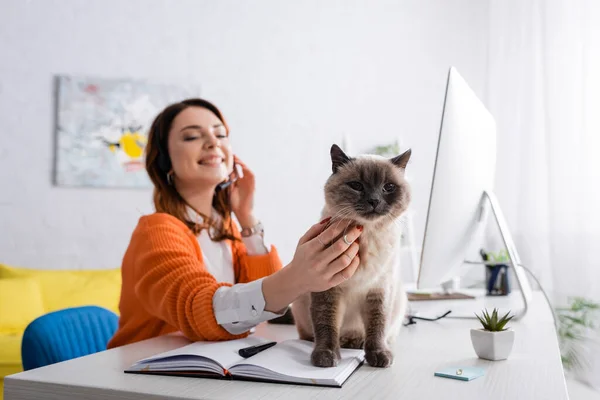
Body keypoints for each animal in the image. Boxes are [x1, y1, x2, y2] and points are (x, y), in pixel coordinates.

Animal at [290, 144, 412, 368]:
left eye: (388, 187)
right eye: (356, 186)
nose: (374, 200)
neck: (367, 235)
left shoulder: (379, 290)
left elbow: (377, 326)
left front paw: (379, 356)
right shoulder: (327, 289)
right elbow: (326, 325)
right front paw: (326, 357)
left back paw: (356, 343)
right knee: (311, 334)